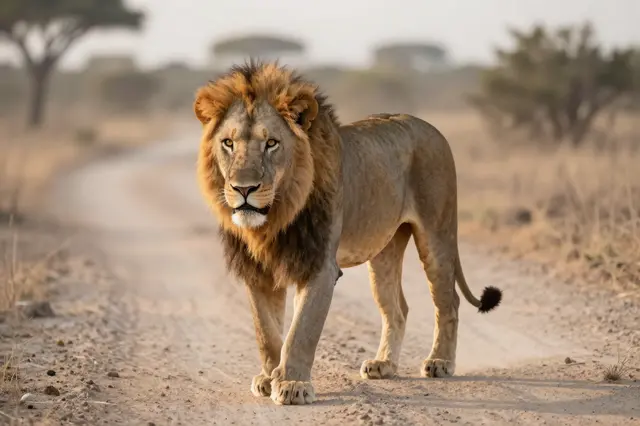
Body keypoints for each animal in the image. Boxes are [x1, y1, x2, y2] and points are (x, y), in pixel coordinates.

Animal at [193, 61, 502, 406]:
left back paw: (440, 361)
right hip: (384, 251)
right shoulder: (257, 270)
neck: (275, 217)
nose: (243, 189)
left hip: (437, 235)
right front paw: (268, 376)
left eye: (271, 143)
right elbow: (266, 331)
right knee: (398, 307)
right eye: (228, 143)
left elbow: (301, 330)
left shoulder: (319, 264)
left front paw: (292, 384)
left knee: (448, 302)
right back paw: (384, 364)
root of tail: (432, 128)